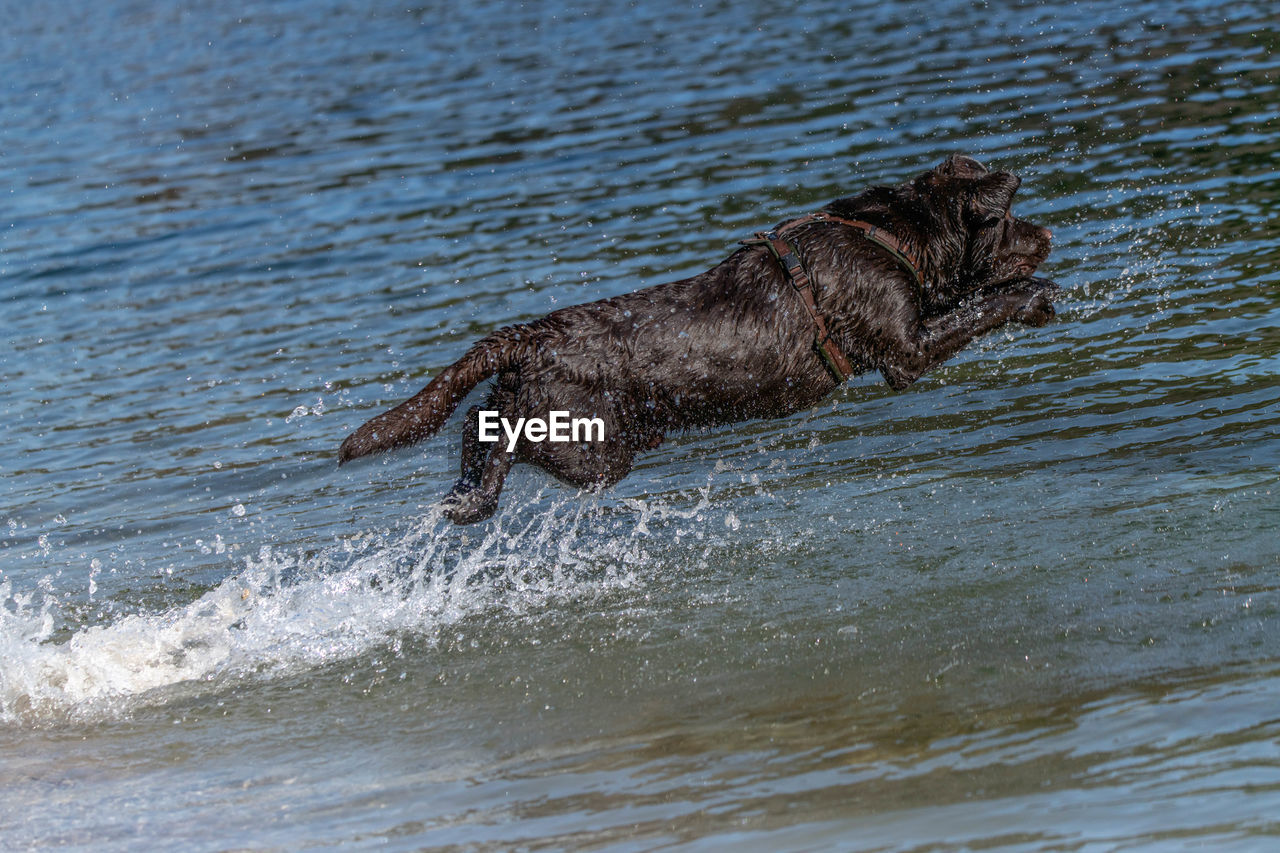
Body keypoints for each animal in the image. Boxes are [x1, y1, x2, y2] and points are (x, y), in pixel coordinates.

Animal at [340, 156, 1059, 522]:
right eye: (1008, 216)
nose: (1049, 233)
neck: (892, 237)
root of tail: (531, 333)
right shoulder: (905, 351)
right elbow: (980, 309)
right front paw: (1034, 298)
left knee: (480, 418)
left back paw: (468, 493)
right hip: (598, 448)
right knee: (499, 427)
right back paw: (477, 494)